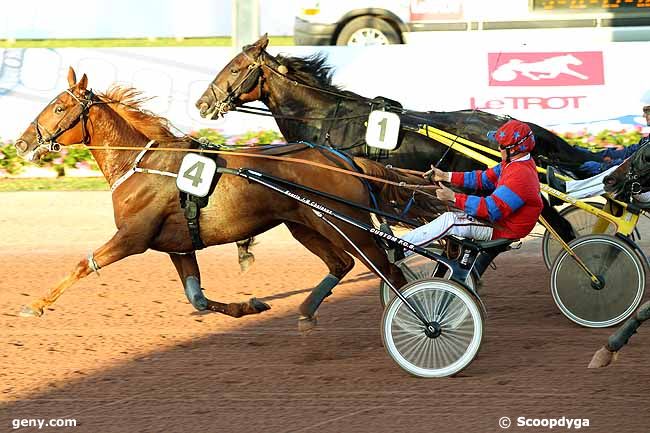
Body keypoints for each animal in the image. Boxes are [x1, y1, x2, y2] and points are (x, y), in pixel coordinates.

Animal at [12, 67, 436, 330]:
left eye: (59, 107)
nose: (21, 143)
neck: (142, 164)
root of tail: (341, 158)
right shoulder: (178, 246)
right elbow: (198, 299)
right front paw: (250, 305)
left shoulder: (133, 238)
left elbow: (84, 265)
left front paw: (36, 304)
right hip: (305, 224)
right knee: (342, 263)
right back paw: (306, 312)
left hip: (349, 225)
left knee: (391, 272)